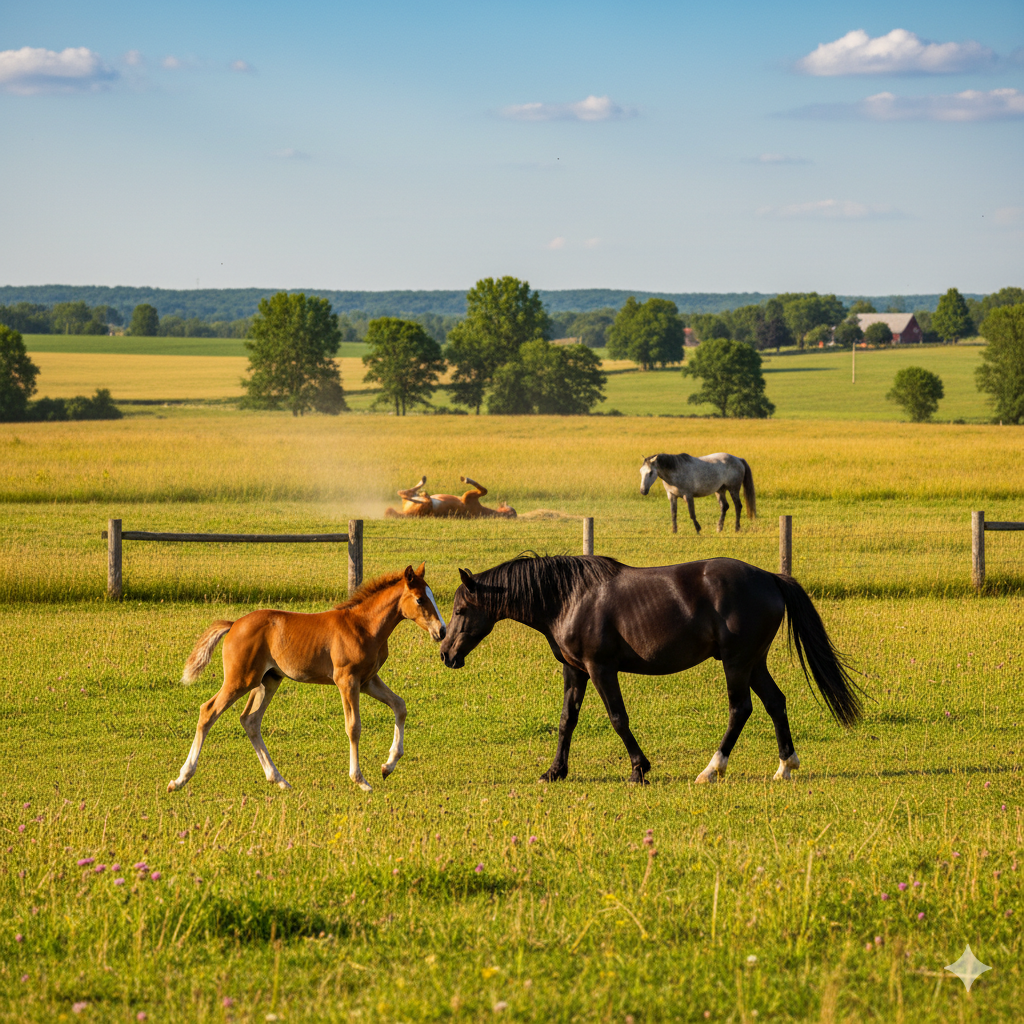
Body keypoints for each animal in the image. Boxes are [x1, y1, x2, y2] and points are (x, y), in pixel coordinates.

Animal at [167, 564, 446, 795]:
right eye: (420, 599)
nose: (442, 631)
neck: (363, 625)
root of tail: (234, 624)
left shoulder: (368, 680)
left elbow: (400, 706)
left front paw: (388, 766)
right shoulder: (347, 680)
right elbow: (353, 727)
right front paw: (360, 780)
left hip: (268, 680)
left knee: (250, 720)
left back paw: (279, 780)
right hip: (240, 679)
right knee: (208, 711)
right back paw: (180, 779)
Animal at [385, 475, 516, 519]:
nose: (503, 503)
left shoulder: (469, 496)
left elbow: (484, 490)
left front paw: (466, 479)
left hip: (418, 503)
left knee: (404, 493)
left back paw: (424, 492)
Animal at [440, 554, 860, 785]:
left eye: (460, 610)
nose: (445, 653)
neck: (568, 597)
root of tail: (771, 578)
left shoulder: (600, 668)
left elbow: (617, 718)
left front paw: (639, 769)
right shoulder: (575, 671)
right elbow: (566, 721)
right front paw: (554, 771)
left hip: (738, 662)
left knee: (740, 709)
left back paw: (711, 769)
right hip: (754, 662)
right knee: (776, 703)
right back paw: (785, 766)